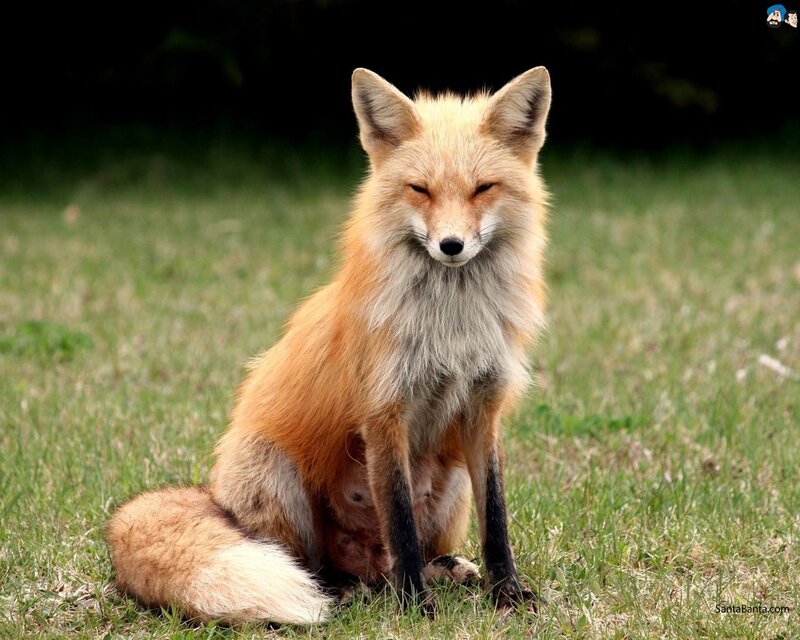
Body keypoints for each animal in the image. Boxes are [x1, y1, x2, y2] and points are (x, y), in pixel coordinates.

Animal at [106, 66, 552, 625]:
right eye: (420, 190)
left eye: (482, 189)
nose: (451, 246)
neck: (451, 326)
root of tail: (216, 497)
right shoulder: (384, 413)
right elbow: (400, 523)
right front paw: (415, 608)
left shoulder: (482, 409)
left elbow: (496, 521)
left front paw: (508, 593)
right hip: (274, 473)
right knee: (316, 564)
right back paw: (343, 591)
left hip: (451, 486)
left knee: (394, 561)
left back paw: (437, 571)